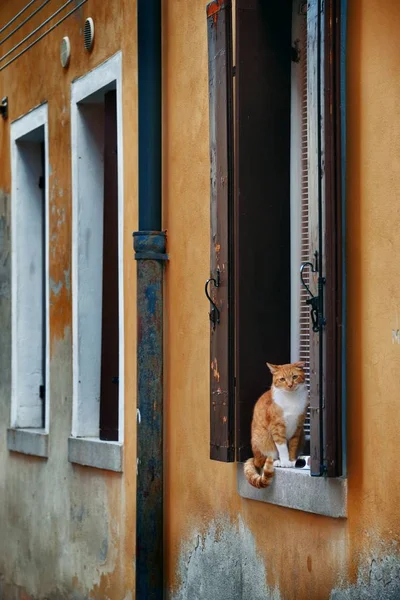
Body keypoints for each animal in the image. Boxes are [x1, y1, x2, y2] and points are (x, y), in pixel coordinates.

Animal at [242, 360, 308, 488]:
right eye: (282, 379)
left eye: (294, 377)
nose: (290, 385)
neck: (291, 399)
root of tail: (254, 457)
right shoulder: (277, 427)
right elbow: (282, 447)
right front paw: (285, 461)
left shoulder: (297, 427)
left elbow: (292, 445)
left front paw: (292, 461)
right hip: (262, 439)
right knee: (262, 462)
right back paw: (277, 461)